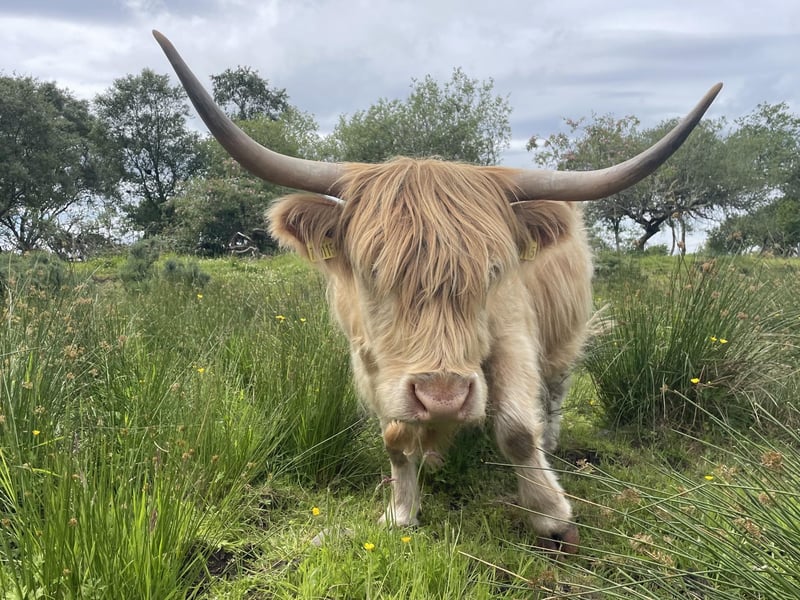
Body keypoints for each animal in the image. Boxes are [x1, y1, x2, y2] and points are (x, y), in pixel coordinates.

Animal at [153, 31, 721, 554]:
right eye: (372, 271)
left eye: (493, 271)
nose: (443, 397)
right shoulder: (372, 357)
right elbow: (396, 435)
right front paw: (401, 510)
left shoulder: (511, 335)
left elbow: (517, 429)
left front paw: (551, 517)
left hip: (564, 336)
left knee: (555, 390)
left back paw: (552, 438)